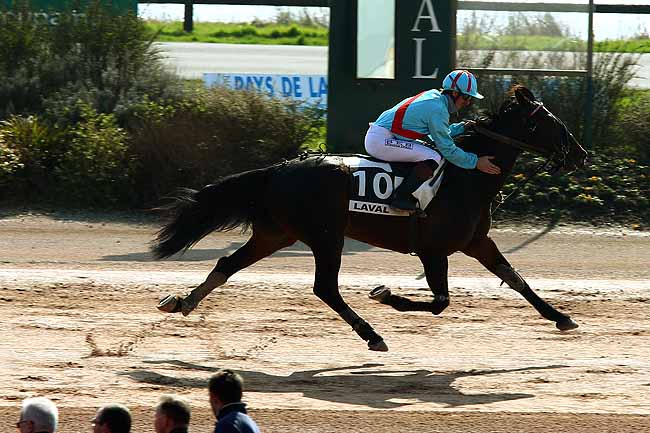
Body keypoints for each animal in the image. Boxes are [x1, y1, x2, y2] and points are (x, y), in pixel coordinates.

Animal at [151, 85, 588, 352]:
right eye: (551, 122)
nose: (581, 155)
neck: (465, 180)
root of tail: (277, 170)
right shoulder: (433, 250)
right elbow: (440, 302)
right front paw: (386, 294)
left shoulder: (477, 242)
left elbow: (515, 279)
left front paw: (561, 317)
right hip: (327, 236)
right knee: (325, 288)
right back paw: (371, 334)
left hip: (276, 234)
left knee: (228, 263)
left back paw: (183, 302)